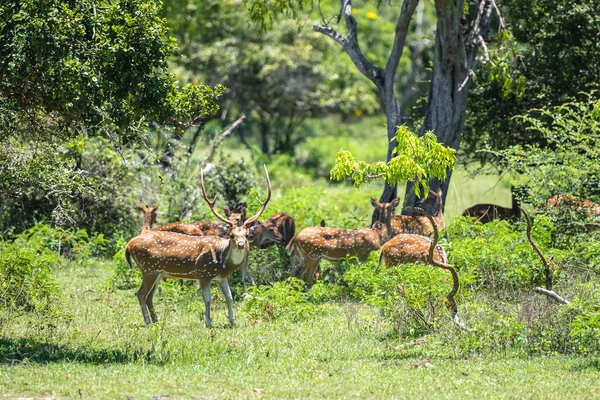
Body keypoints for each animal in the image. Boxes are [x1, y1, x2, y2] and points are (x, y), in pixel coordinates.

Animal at [125, 164, 274, 326]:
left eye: (246, 235)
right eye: (231, 235)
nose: (241, 244)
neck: (222, 262)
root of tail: (129, 245)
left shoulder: (221, 278)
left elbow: (229, 298)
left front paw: (232, 320)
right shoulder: (204, 274)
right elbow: (207, 300)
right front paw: (208, 322)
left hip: (157, 273)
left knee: (149, 296)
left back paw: (156, 320)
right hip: (148, 269)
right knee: (140, 294)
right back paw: (147, 322)